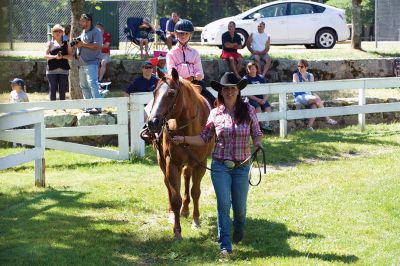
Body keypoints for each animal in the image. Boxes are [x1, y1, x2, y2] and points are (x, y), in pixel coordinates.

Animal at [148, 68, 216, 239]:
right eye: (154, 92)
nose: (152, 122)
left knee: (186, 178)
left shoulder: (201, 163)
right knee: (168, 185)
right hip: (162, 161)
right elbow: (175, 198)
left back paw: (186, 210)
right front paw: (177, 231)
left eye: (171, 93)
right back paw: (173, 213)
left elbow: (195, 192)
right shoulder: (172, 163)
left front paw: (196, 221)